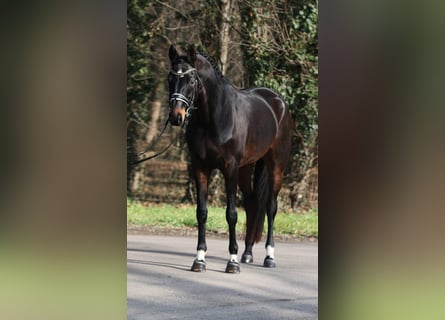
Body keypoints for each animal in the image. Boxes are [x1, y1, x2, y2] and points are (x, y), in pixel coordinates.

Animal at [166, 45, 292, 274]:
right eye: (170, 78)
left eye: (190, 80)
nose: (176, 116)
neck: (213, 117)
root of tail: (278, 102)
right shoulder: (200, 168)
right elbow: (202, 212)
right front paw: (199, 260)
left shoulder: (230, 168)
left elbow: (231, 214)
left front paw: (231, 262)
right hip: (246, 168)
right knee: (252, 205)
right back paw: (248, 253)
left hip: (276, 165)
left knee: (270, 207)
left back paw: (269, 256)